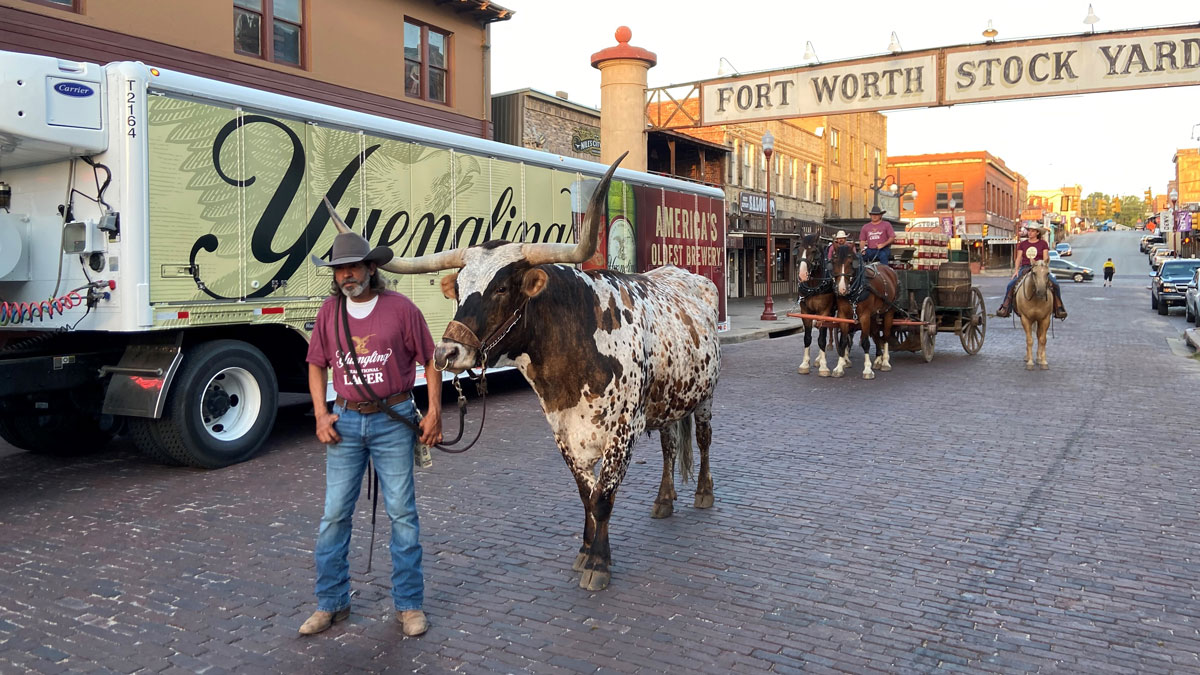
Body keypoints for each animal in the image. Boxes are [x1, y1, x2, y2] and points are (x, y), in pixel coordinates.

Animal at [796, 234, 835, 374]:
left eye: (813, 251)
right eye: (799, 249)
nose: (802, 275)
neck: (814, 286)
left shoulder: (824, 312)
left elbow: (821, 339)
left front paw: (824, 366)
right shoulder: (805, 312)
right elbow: (807, 337)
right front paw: (804, 364)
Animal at [835, 242, 902, 379]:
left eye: (851, 262)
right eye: (834, 261)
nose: (841, 289)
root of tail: (890, 269)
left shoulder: (864, 316)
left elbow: (865, 342)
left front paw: (867, 370)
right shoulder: (843, 315)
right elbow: (843, 341)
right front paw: (839, 367)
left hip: (889, 311)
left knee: (886, 335)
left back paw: (885, 362)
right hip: (875, 315)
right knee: (876, 334)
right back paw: (878, 359)